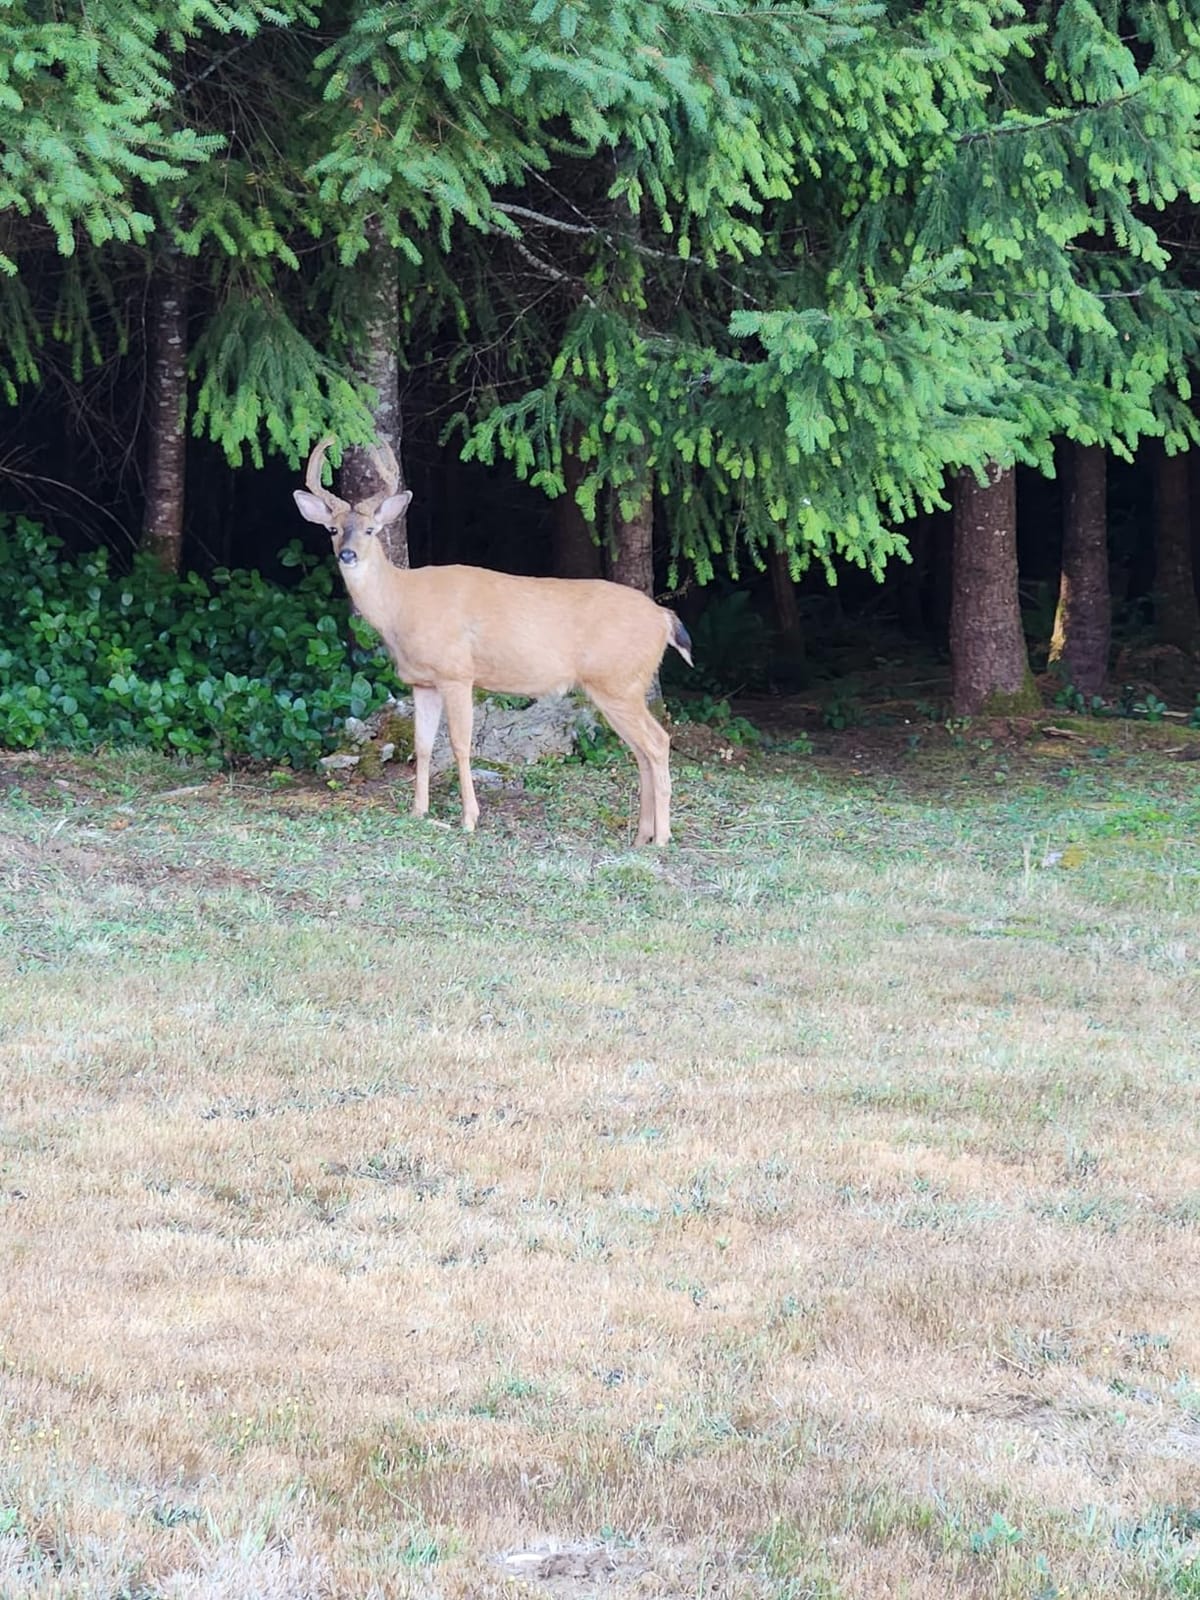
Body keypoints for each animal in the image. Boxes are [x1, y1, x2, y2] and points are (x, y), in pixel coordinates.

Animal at [293, 437, 693, 844]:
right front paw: (419, 811)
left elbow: (459, 745)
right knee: (642, 750)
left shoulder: (457, 672)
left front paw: (469, 818)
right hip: (618, 686)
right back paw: (643, 835)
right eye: (332, 529)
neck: (402, 605)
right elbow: (422, 746)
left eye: (371, 529)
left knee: (657, 742)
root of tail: (664, 618)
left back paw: (662, 837)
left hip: (618, 682)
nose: (348, 554)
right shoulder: (422, 682)